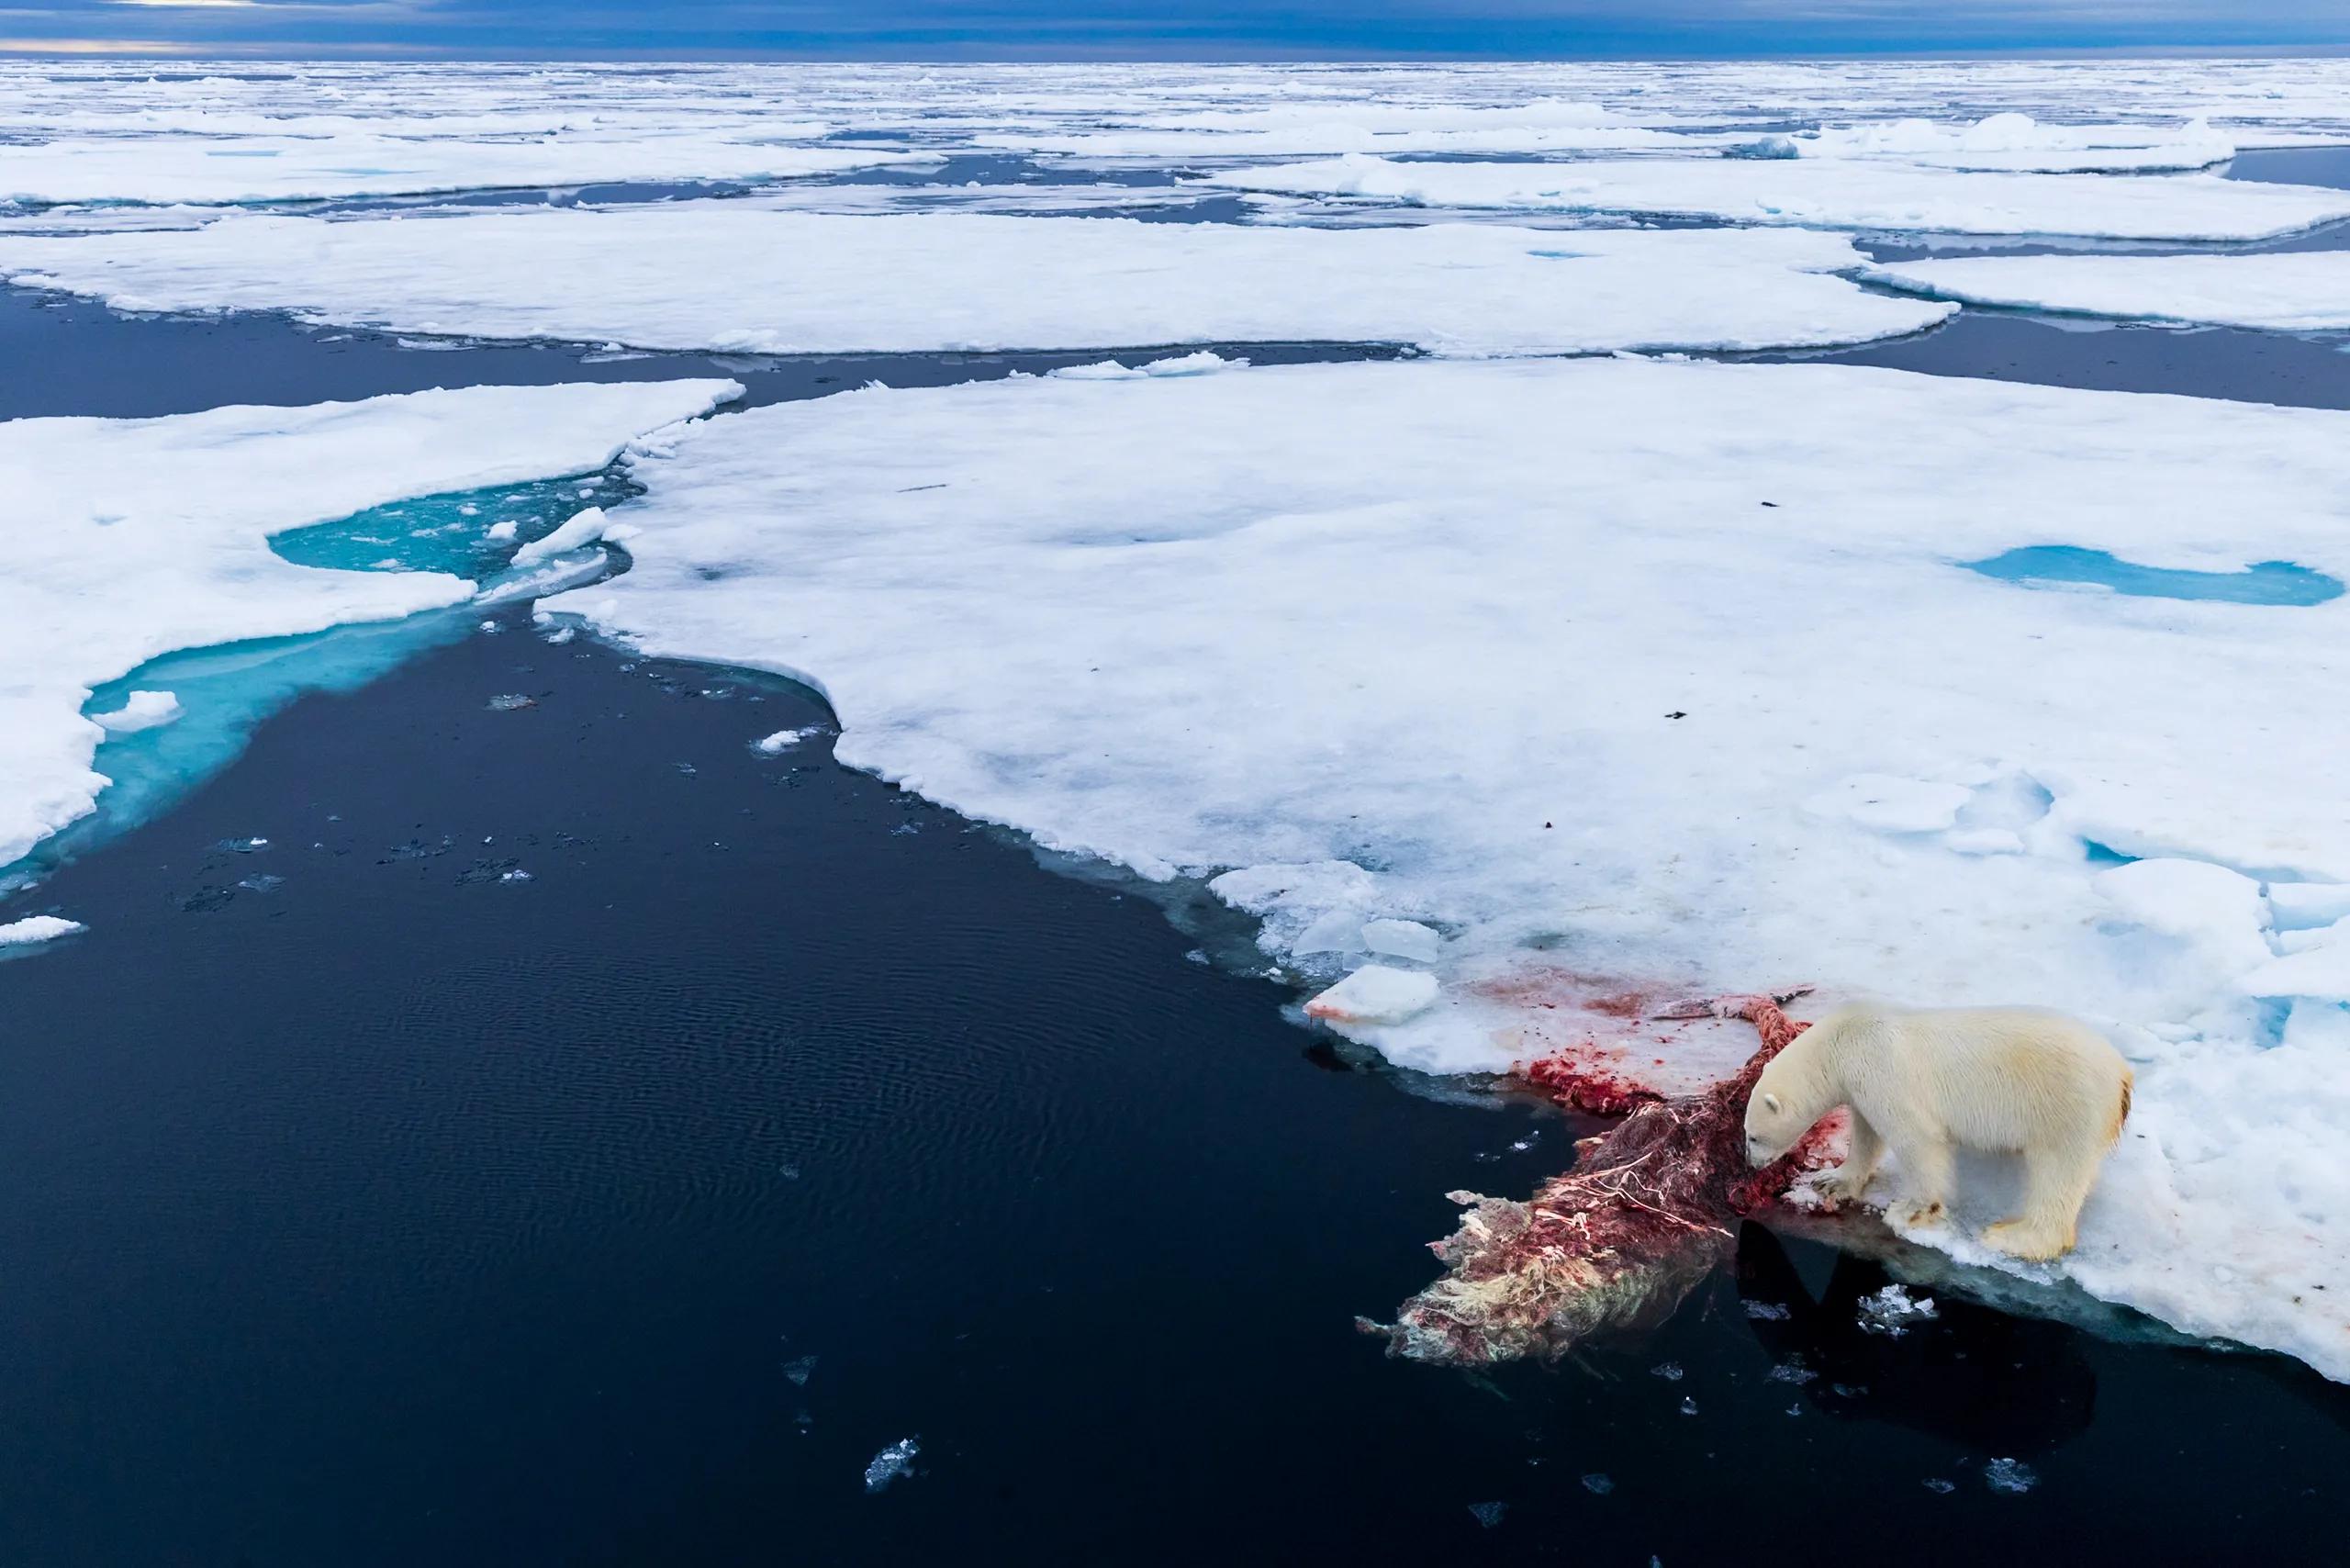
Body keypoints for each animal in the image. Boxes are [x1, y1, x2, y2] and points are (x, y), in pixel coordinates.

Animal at [1743, 1002, 2133, 1262]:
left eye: (1752, 1136)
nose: (1750, 1164)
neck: (1845, 1041)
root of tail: (2122, 1076)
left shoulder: (1882, 1071)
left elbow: (1917, 1139)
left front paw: (1910, 1211)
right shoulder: (1862, 1086)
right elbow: (1867, 1135)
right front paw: (1831, 1180)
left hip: (2066, 1107)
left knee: (2058, 1172)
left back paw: (2011, 1236)